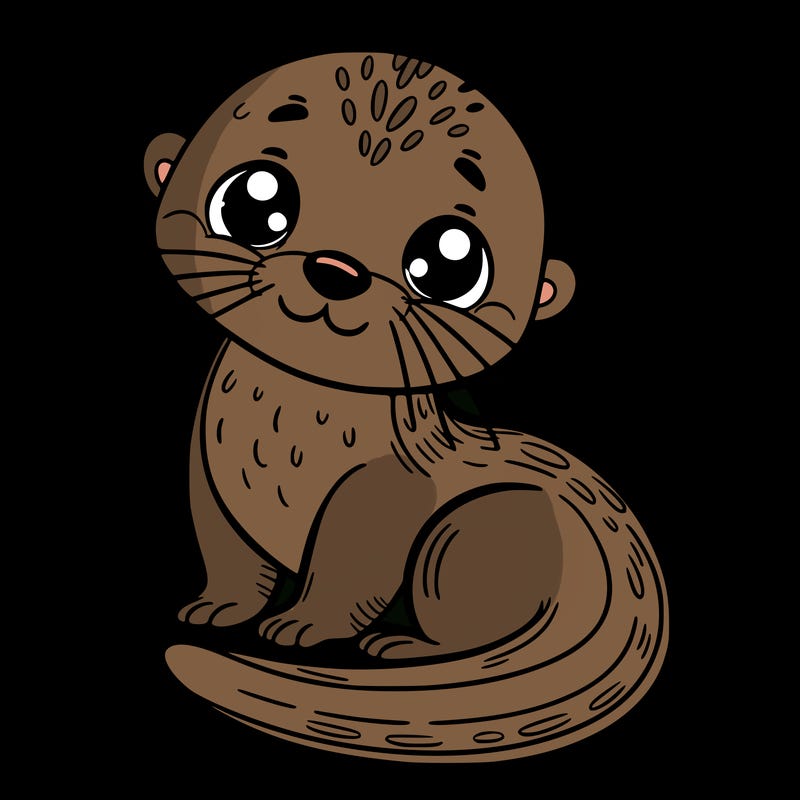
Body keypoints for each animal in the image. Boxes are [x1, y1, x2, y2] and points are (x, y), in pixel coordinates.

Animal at [144, 52, 668, 763]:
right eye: (256, 200)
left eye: (451, 262)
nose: (335, 270)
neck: (282, 429)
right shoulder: (207, 465)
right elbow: (227, 551)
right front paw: (218, 609)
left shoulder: (384, 488)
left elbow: (350, 565)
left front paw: (304, 624)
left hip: (471, 530)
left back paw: (404, 645)